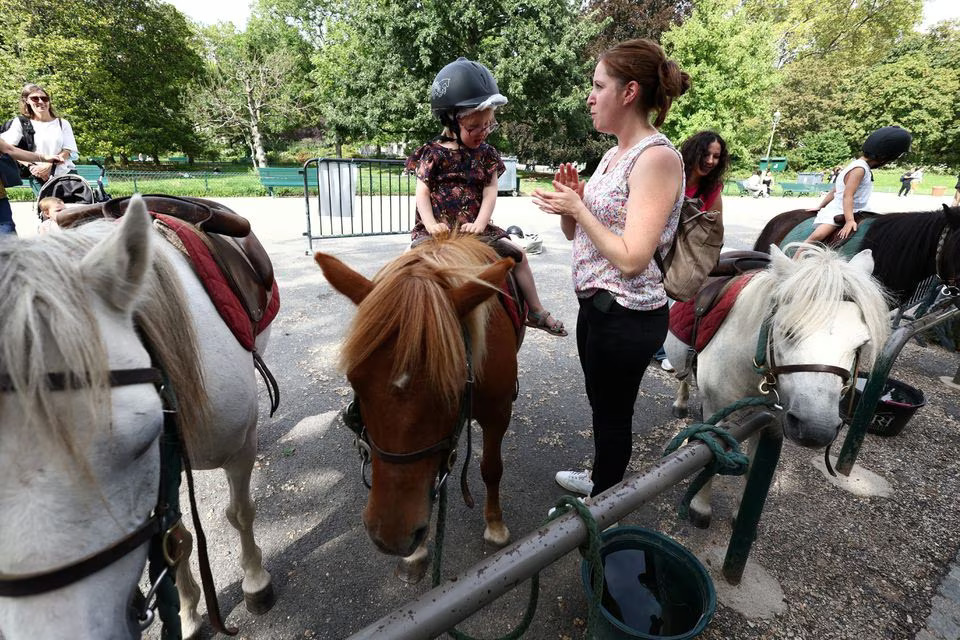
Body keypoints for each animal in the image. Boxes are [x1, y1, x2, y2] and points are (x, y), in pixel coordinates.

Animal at [0, 198, 274, 636]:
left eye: (144, 438)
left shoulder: (238, 451)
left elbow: (240, 513)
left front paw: (254, 581)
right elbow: (175, 540)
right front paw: (188, 613)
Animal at [316, 231, 516, 564]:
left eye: (454, 386)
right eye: (354, 381)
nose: (390, 536)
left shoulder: (498, 414)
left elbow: (491, 467)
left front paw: (496, 524)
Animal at [664, 242, 888, 528]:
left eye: (861, 344)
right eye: (788, 330)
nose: (816, 429)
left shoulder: (771, 423)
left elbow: (753, 470)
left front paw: (740, 516)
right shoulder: (717, 410)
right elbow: (710, 459)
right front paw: (700, 508)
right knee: (683, 379)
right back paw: (680, 403)